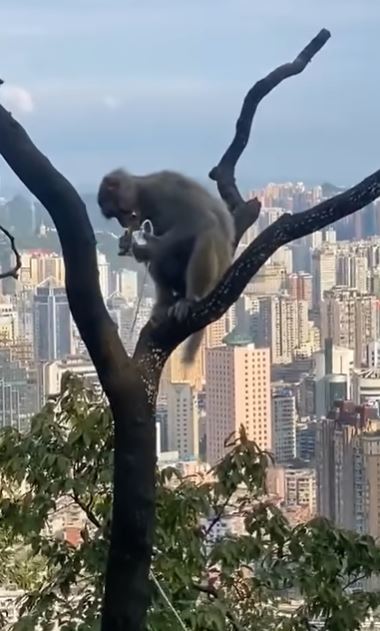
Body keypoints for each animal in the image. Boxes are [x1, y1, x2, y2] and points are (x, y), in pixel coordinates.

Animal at [97, 169, 235, 366]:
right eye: (114, 215)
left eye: (119, 212)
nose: (123, 223)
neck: (143, 195)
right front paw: (129, 245)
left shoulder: (164, 191)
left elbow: (199, 221)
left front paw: (147, 246)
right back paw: (165, 303)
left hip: (215, 276)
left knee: (207, 232)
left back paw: (190, 298)